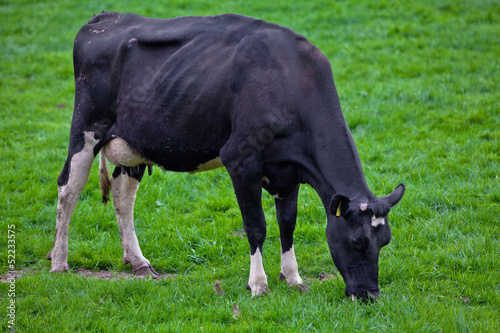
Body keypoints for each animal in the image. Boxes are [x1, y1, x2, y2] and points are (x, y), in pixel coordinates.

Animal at [47, 12, 406, 298]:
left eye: (385, 241)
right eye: (357, 241)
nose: (370, 295)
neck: (290, 80)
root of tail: (106, 17)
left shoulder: (287, 170)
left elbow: (287, 224)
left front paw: (292, 278)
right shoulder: (241, 161)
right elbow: (256, 226)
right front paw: (258, 284)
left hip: (134, 144)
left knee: (123, 197)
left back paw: (138, 262)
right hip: (86, 128)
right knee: (69, 189)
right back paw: (59, 262)